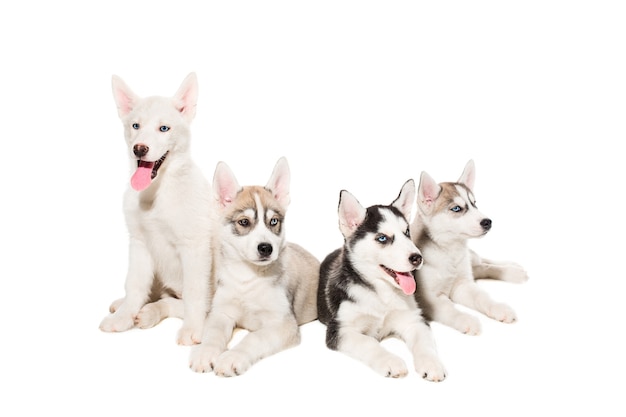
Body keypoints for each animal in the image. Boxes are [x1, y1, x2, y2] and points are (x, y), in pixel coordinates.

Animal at [98, 72, 213, 344]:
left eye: (164, 128)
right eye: (135, 126)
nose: (139, 148)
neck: (157, 192)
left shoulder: (195, 247)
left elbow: (194, 293)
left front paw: (193, 328)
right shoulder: (139, 243)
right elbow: (134, 284)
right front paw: (124, 316)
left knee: (184, 302)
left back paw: (152, 312)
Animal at [189, 157, 316, 376]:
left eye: (273, 221)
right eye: (244, 222)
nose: (266, 248)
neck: (247, 278)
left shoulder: (283, 323)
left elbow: (254, 337)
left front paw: (232, 357)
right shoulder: (221, 313)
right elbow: (213, 334)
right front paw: (205, 353)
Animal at [316, 179, 444, 380]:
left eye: (407, 232)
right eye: (382, 238)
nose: (417, 258)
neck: (381, 293)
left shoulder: (414, 319)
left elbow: (424, 344)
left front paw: (431, 364)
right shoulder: (340, 329)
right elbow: (368, 342)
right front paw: (391, 361)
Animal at [410, 159, 528, 334]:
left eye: (474, 204)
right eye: (456, 208)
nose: (487, 222)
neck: (449, 252)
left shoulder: (462, 284)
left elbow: (481, 297)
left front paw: (498, 307)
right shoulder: (427, 298)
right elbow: (448, 309)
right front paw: (465, 319)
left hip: (470, 262)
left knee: (484, 263)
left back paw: (513, 270)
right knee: (481, 267)